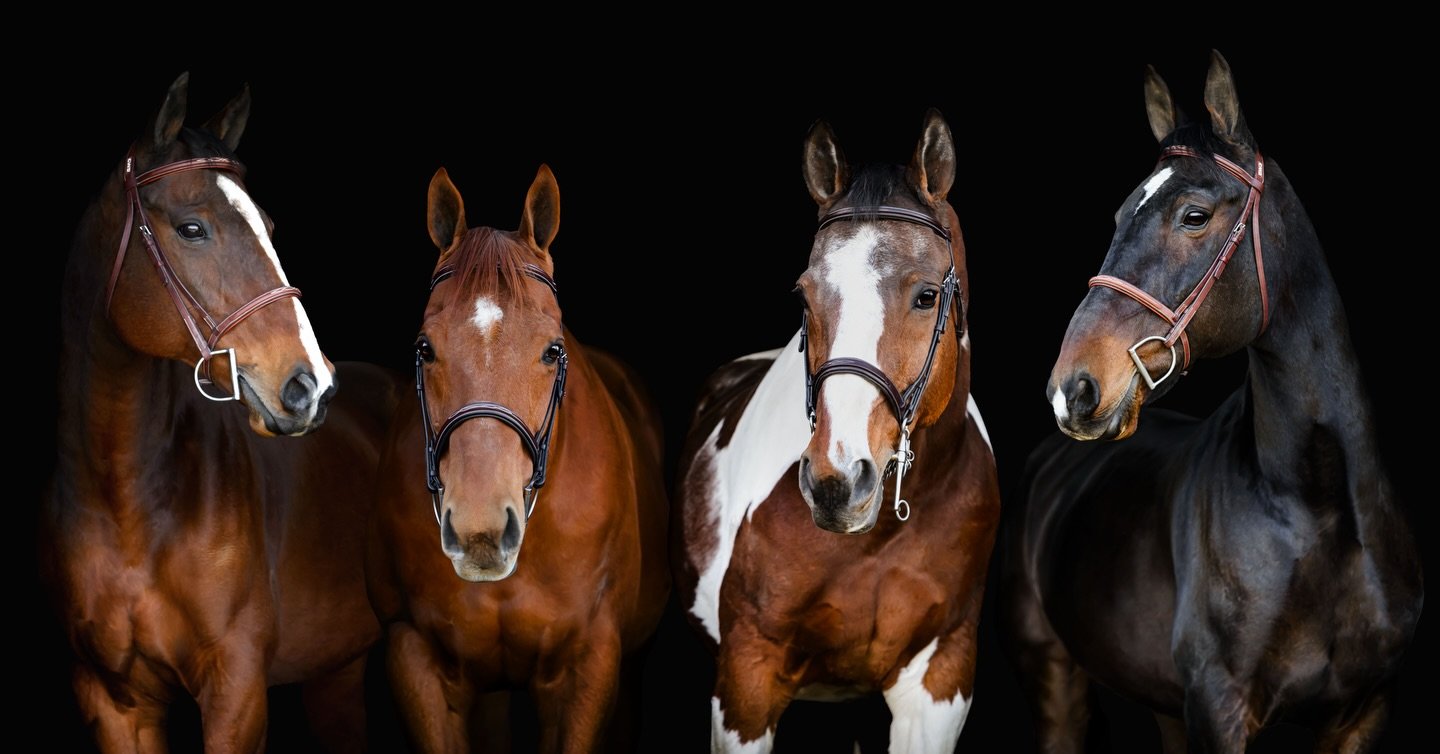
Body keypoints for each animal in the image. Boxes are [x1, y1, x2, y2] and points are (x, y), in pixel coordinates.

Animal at [37, 72, 397, 753]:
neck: (128, 504)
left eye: (269, 225)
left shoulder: (236, 693)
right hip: (337, 672)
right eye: (191, 229)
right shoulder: (112, 701)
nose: (312, 386)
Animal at [673, 109, 1001, 752]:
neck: (876, 541)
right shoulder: (746, 682)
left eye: (927, 295)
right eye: (804, 296)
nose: (836, 482)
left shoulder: (939, 681)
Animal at [1000, 51, 1424, 753]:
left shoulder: (1365, 711)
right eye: (1119, 217)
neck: (1316, 512)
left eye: (1194, 216)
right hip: (1053, 675)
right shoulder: (1219, 708)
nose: (1072, 388)